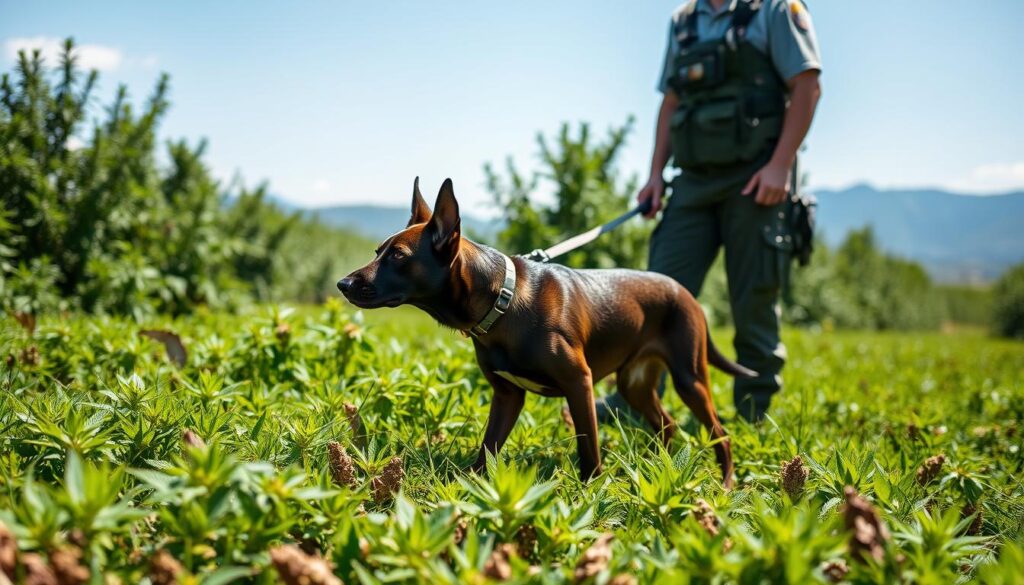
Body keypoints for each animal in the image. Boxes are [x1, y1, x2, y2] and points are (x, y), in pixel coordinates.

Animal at [335, 177, 753, 485]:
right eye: (377, 251)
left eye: (398, 256)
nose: (342, 283)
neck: (503, 301)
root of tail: (685, 293)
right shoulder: (507, 396)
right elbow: (486, 450)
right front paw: (469, 491)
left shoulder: (579, 384)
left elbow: (588, 450)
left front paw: (592, 495)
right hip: (634, 383)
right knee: (667, 426)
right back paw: (660, 468)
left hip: (689, 378)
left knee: (720, 432)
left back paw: (724, 483)